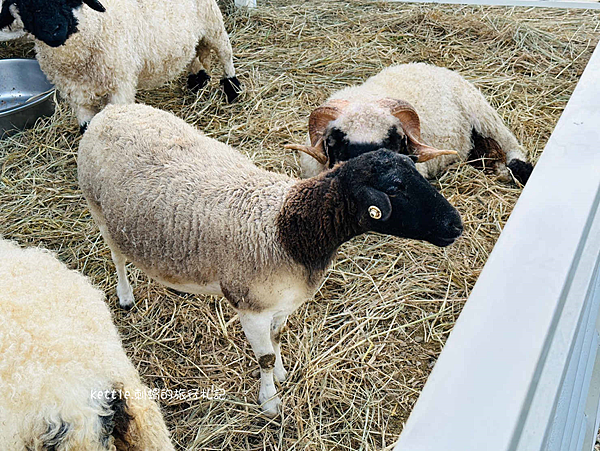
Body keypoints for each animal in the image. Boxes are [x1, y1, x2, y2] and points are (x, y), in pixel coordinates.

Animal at [2, 0, 241, 132]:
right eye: (25, 6)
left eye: (67, 0)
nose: (53, 30)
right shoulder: (77, 95)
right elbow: (86, 128)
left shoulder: (120, 84)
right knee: (195, 53)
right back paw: (197, 79)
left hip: (212, 22)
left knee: (225, 54)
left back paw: (232, 88)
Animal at [78, 101, 464, 416]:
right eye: (395, 187)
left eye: (413, 166)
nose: (455, 225)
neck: (286, 228)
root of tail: (111, 111)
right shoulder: (251, 309)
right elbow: (262, 357)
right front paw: (270, 402)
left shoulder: (283, 304)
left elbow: (278, 339)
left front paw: (281, 372)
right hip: (99, 210)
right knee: (117, 256)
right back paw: (125, 296)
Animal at [290, 61, 536, 185]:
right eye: (339, 139)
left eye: (393, 138)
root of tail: (433, 67)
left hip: (484, 114)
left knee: (513, 146)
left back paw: (513, 169)